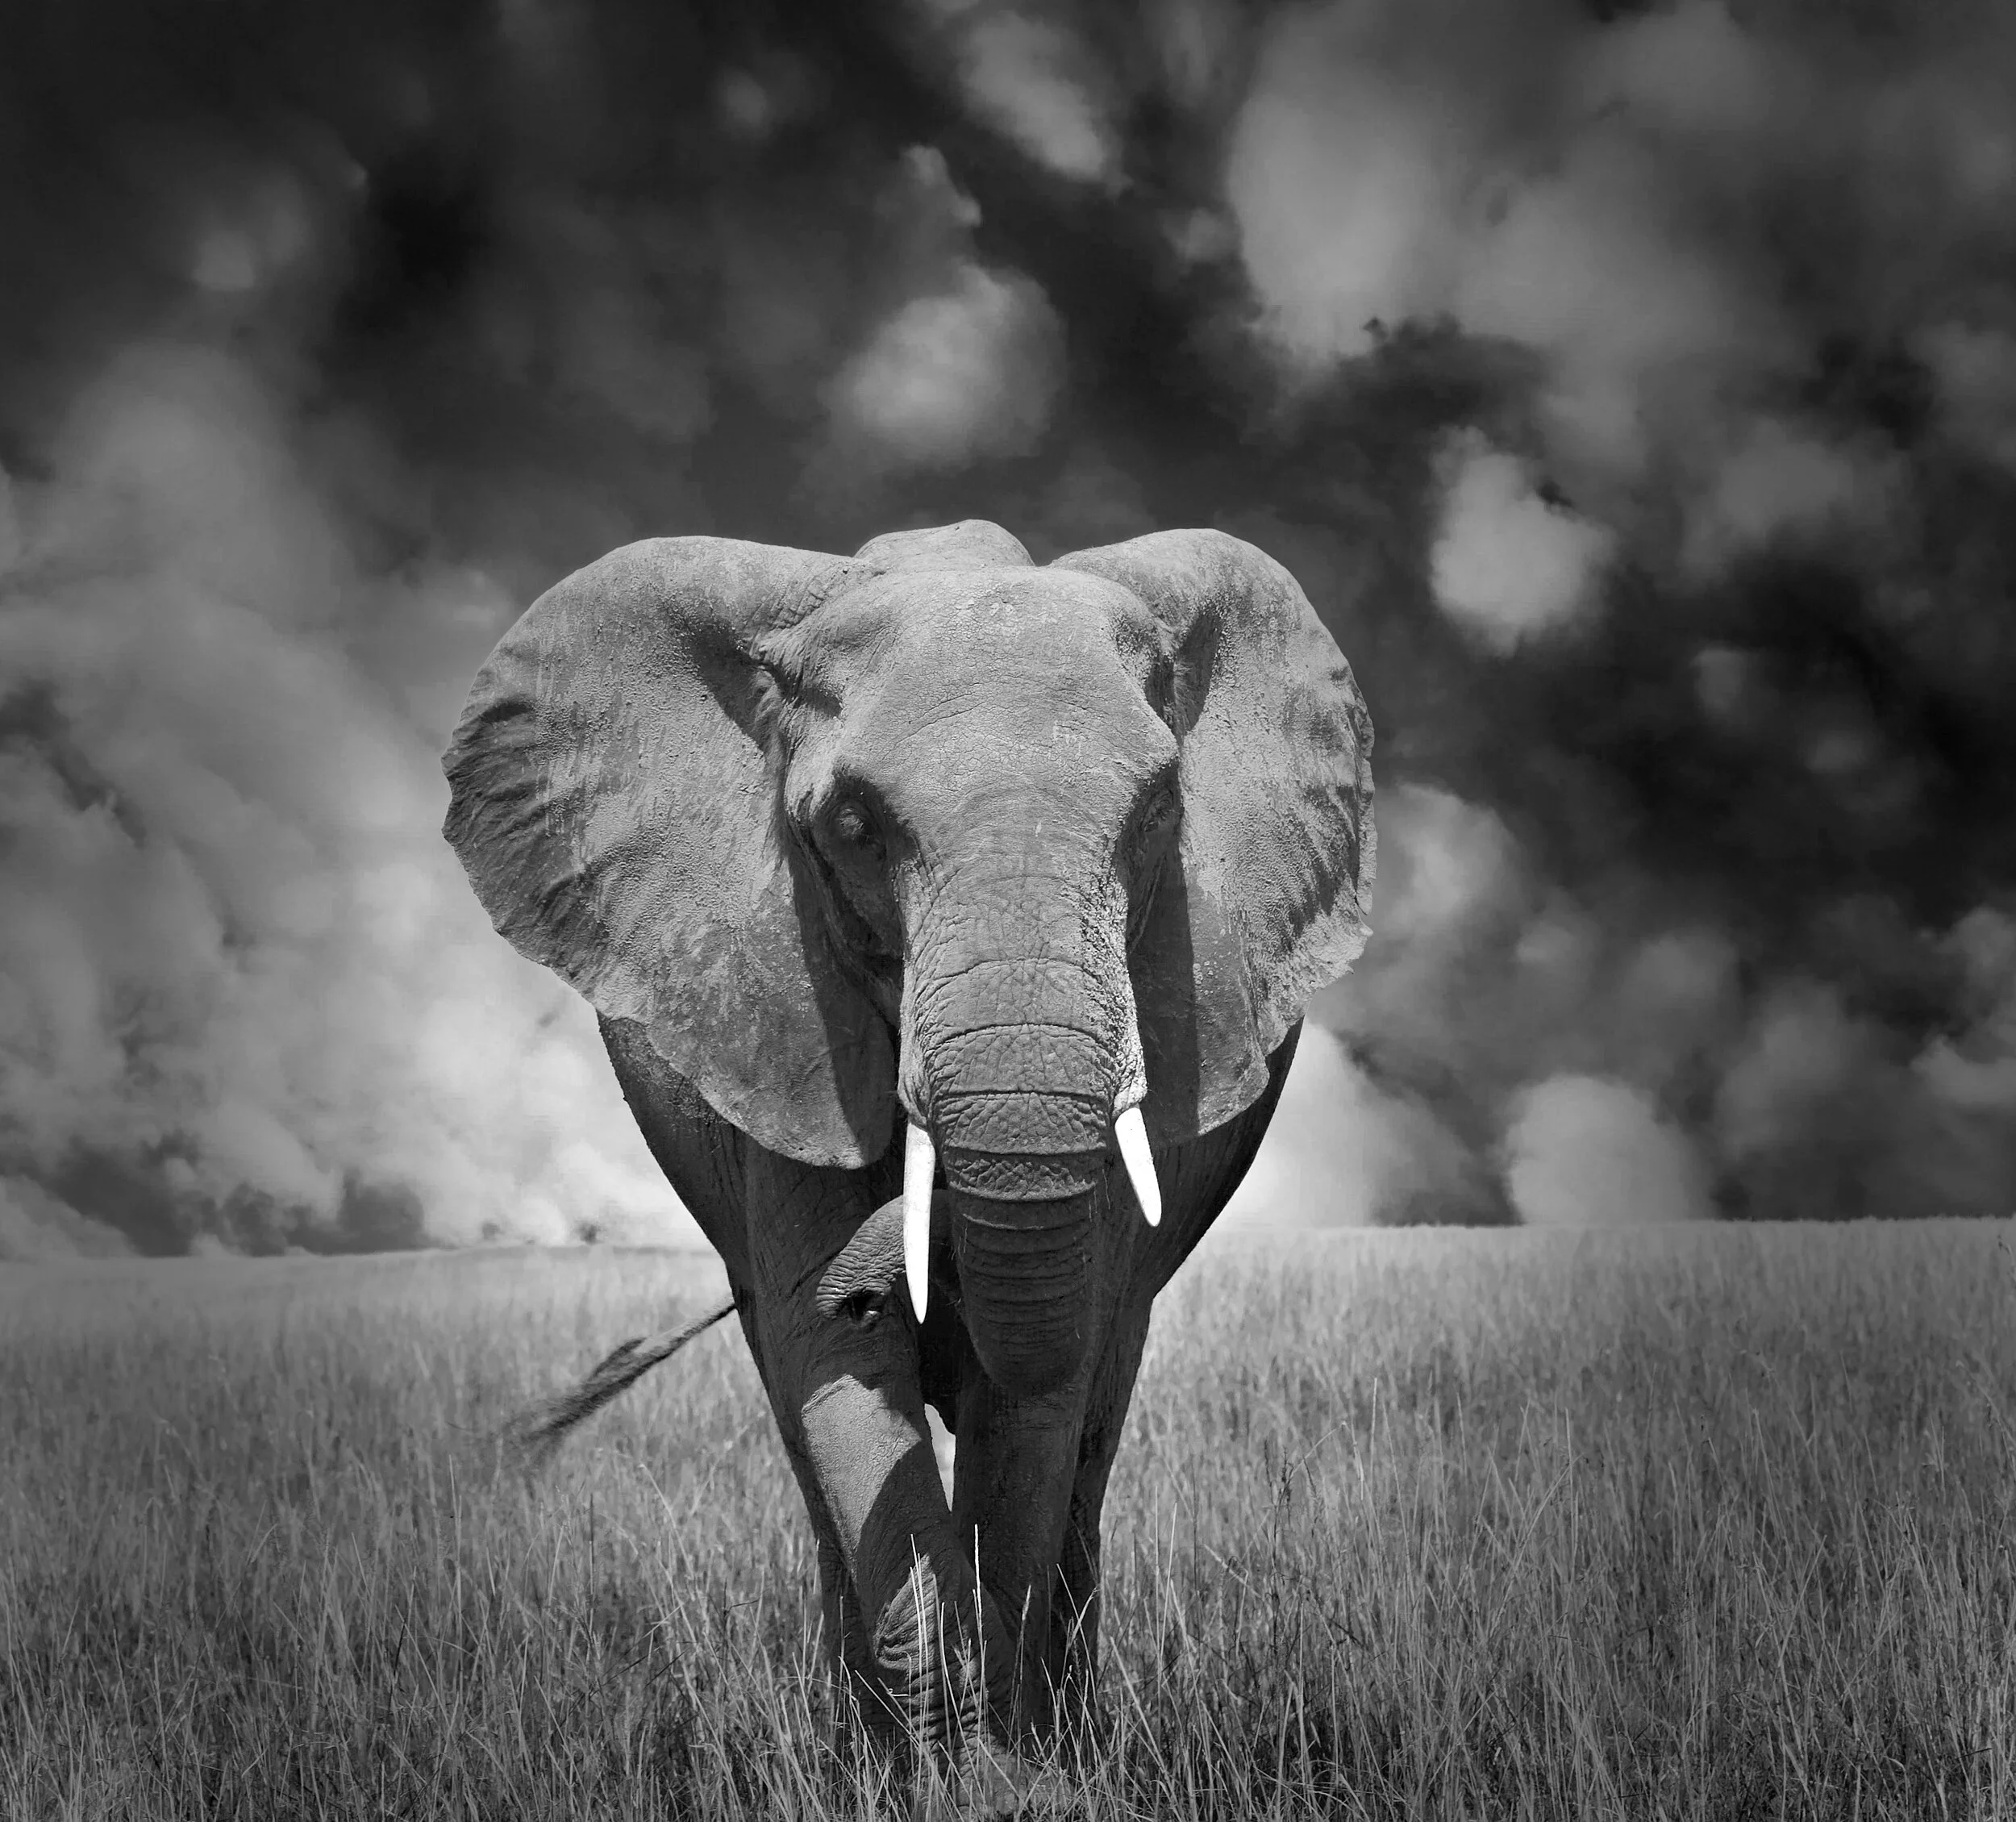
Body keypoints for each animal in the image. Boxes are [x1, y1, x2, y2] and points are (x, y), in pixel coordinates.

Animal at [442, 517, 1374, 1811]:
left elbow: (1035, 1388)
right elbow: (837, 1371)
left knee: (1091, 1427)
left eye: (1156, 815)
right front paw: (932, 1781)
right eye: (851, 827)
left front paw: (1018, 1775)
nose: (872, 1271)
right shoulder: (782, 1010)